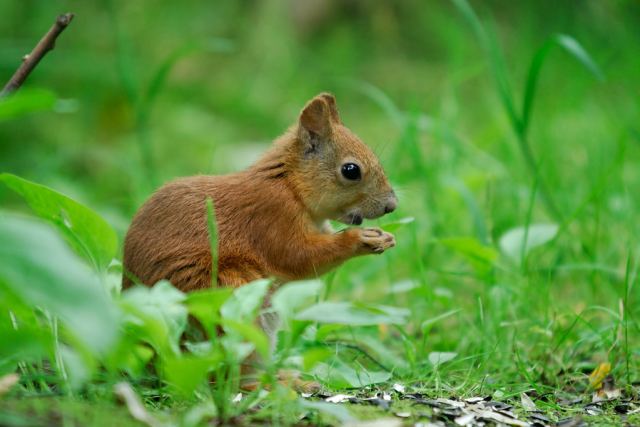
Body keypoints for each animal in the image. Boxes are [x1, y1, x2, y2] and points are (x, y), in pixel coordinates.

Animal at [122, 93, 397, 292]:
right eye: (351, 170)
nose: (391, 205)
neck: (291, 187)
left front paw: (385, 236)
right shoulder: (272, 217)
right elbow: (297, 257)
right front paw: (360, 239)